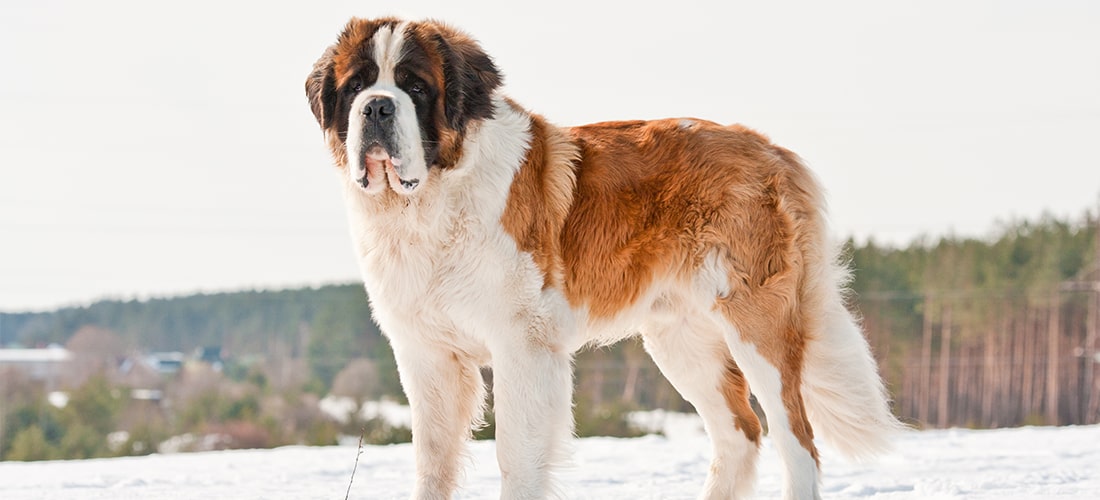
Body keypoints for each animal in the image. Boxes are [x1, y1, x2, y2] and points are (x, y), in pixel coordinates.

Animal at [305, 16, 897, 500]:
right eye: (356, 86)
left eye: (416, 87)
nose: (377, 106)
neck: (427, 202)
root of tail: (772, 148)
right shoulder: (427, 354)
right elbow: (432, 461)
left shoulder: (523, 346)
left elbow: (515, 455)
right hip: (680, 341)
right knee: (740, 434)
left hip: (757, 327)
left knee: (796, 439)